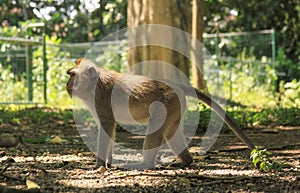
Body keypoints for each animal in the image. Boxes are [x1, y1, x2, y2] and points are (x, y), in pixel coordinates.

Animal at [66, 57, 255, 169]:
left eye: (72, 75)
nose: (67, 85)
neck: (93, 84)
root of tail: (175, 85)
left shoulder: (100, 96)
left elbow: (107, 125)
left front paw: (98, 164)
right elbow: (107, 128)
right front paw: (108, 162)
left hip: (168, 104)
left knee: (156, 131)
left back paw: (145, 164)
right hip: (176, 106)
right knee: (172, 133)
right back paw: (187, 161)